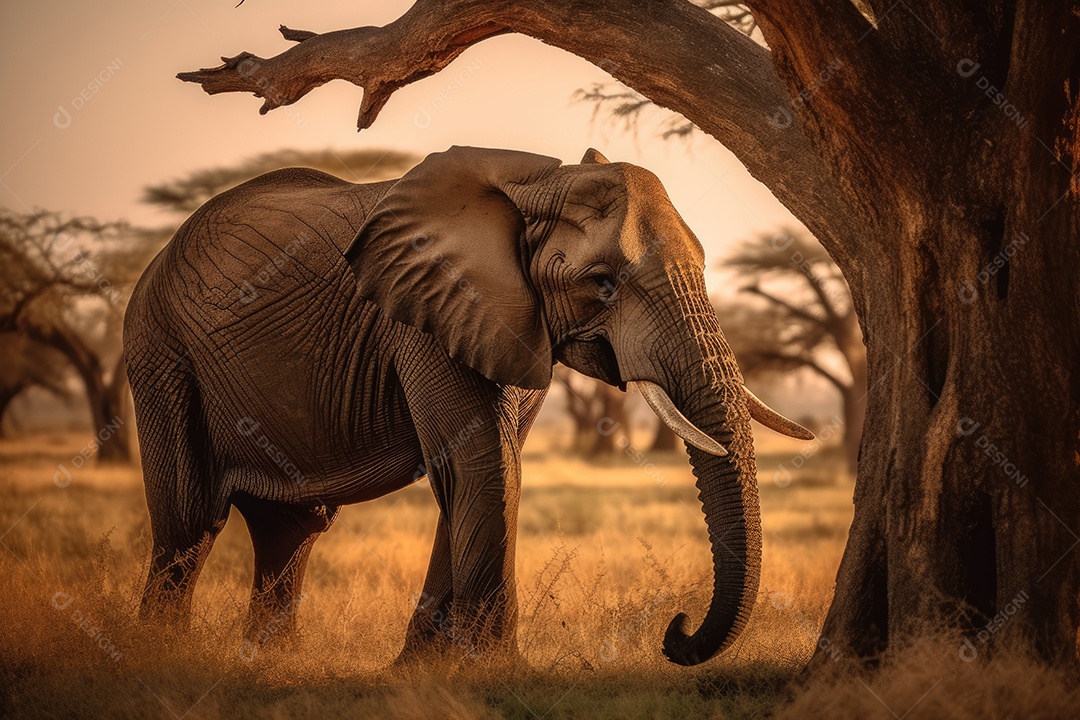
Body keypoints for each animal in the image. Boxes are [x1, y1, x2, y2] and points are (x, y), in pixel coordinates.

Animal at [124, 145, 813, 666]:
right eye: (601, 284)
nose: (676, 630)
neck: (538, 178)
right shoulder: (426, 313)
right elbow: (482, 465)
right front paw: (493, 671)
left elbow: (482, 467)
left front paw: (421, 670)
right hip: (161, 351)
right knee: (189, 519)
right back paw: (162, 656)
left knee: (291, 528)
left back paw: (270, 661)